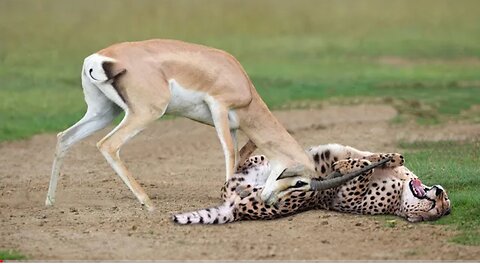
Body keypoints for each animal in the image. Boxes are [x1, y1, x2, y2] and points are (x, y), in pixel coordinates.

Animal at [174, 143, 452, 224]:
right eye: (445, 201)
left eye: (439, 208)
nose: (439, 191)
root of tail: (235, 207)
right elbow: (378, 158)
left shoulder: (347, 198)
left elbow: (360, 168)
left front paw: (342, 166)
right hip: (255, 168)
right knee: (241, 168)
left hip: (289, 196)